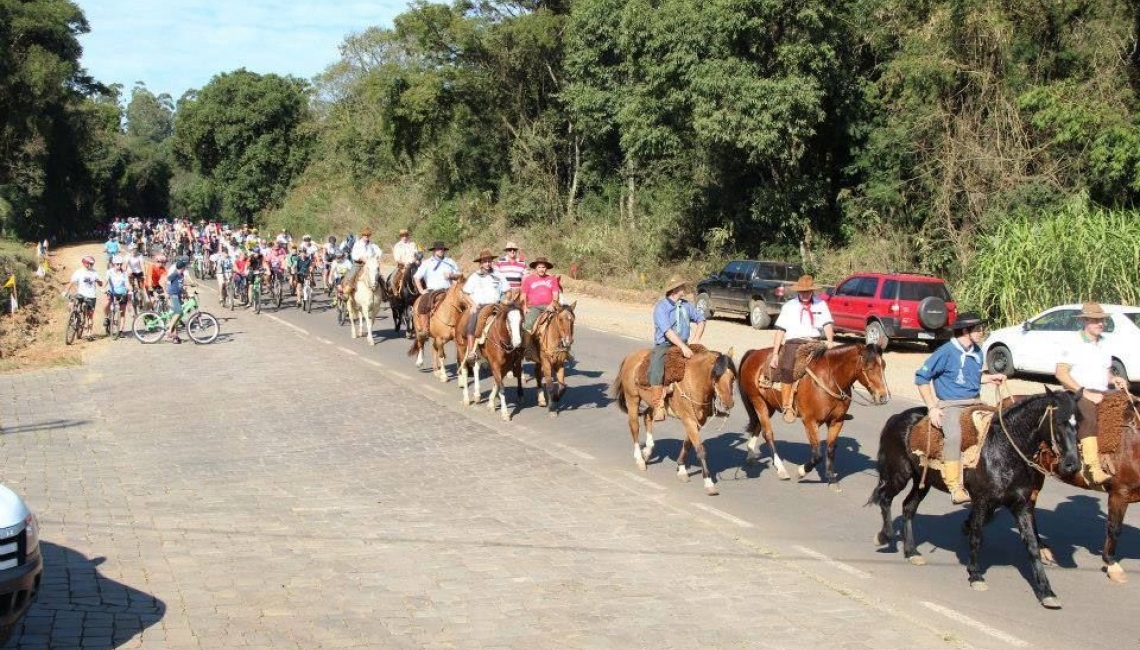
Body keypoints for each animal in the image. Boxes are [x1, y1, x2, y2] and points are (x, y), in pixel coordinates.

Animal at [611, 346, 734, 492]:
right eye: (715, 375)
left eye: (733, 377)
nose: (729, 403)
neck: (694, 381)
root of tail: (631, 356)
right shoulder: (689, 420)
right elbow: (700, 449)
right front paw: (709, 483)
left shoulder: (697, 421)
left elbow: (687, 444)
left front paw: (681, 469)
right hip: (632, 398)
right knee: (634, 426)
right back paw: (640, 459)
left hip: (654, 404)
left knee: (647, 417)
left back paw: (647, 451)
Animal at [738, 344, 889, 485]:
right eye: (869, 367)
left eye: (884, 365)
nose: (884, 396)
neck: (829, 379)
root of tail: (754, 353)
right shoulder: (810, 421)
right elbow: (817, 454)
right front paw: (802, 471)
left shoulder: (837, 421)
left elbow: (831, 449)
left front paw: (831, 478)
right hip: (758, 401)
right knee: (768, 433)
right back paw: (781, 469)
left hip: (769, 406)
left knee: (758, 425)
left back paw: (751, 454)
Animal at [866, 389, 1080, 606]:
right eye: (1059, 422)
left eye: (1078, 422)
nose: (1073, 465)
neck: (1003, 449)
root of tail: (896, 418)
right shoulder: (981, 501)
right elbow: (977, 536)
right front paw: (976, 575)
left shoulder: (1022, 505)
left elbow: (1032, 545)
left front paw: (1046, 591)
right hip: (899, 474)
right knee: (885, 498)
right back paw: (884, 536)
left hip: (922, 481)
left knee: (908, 507)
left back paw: (911, 552)